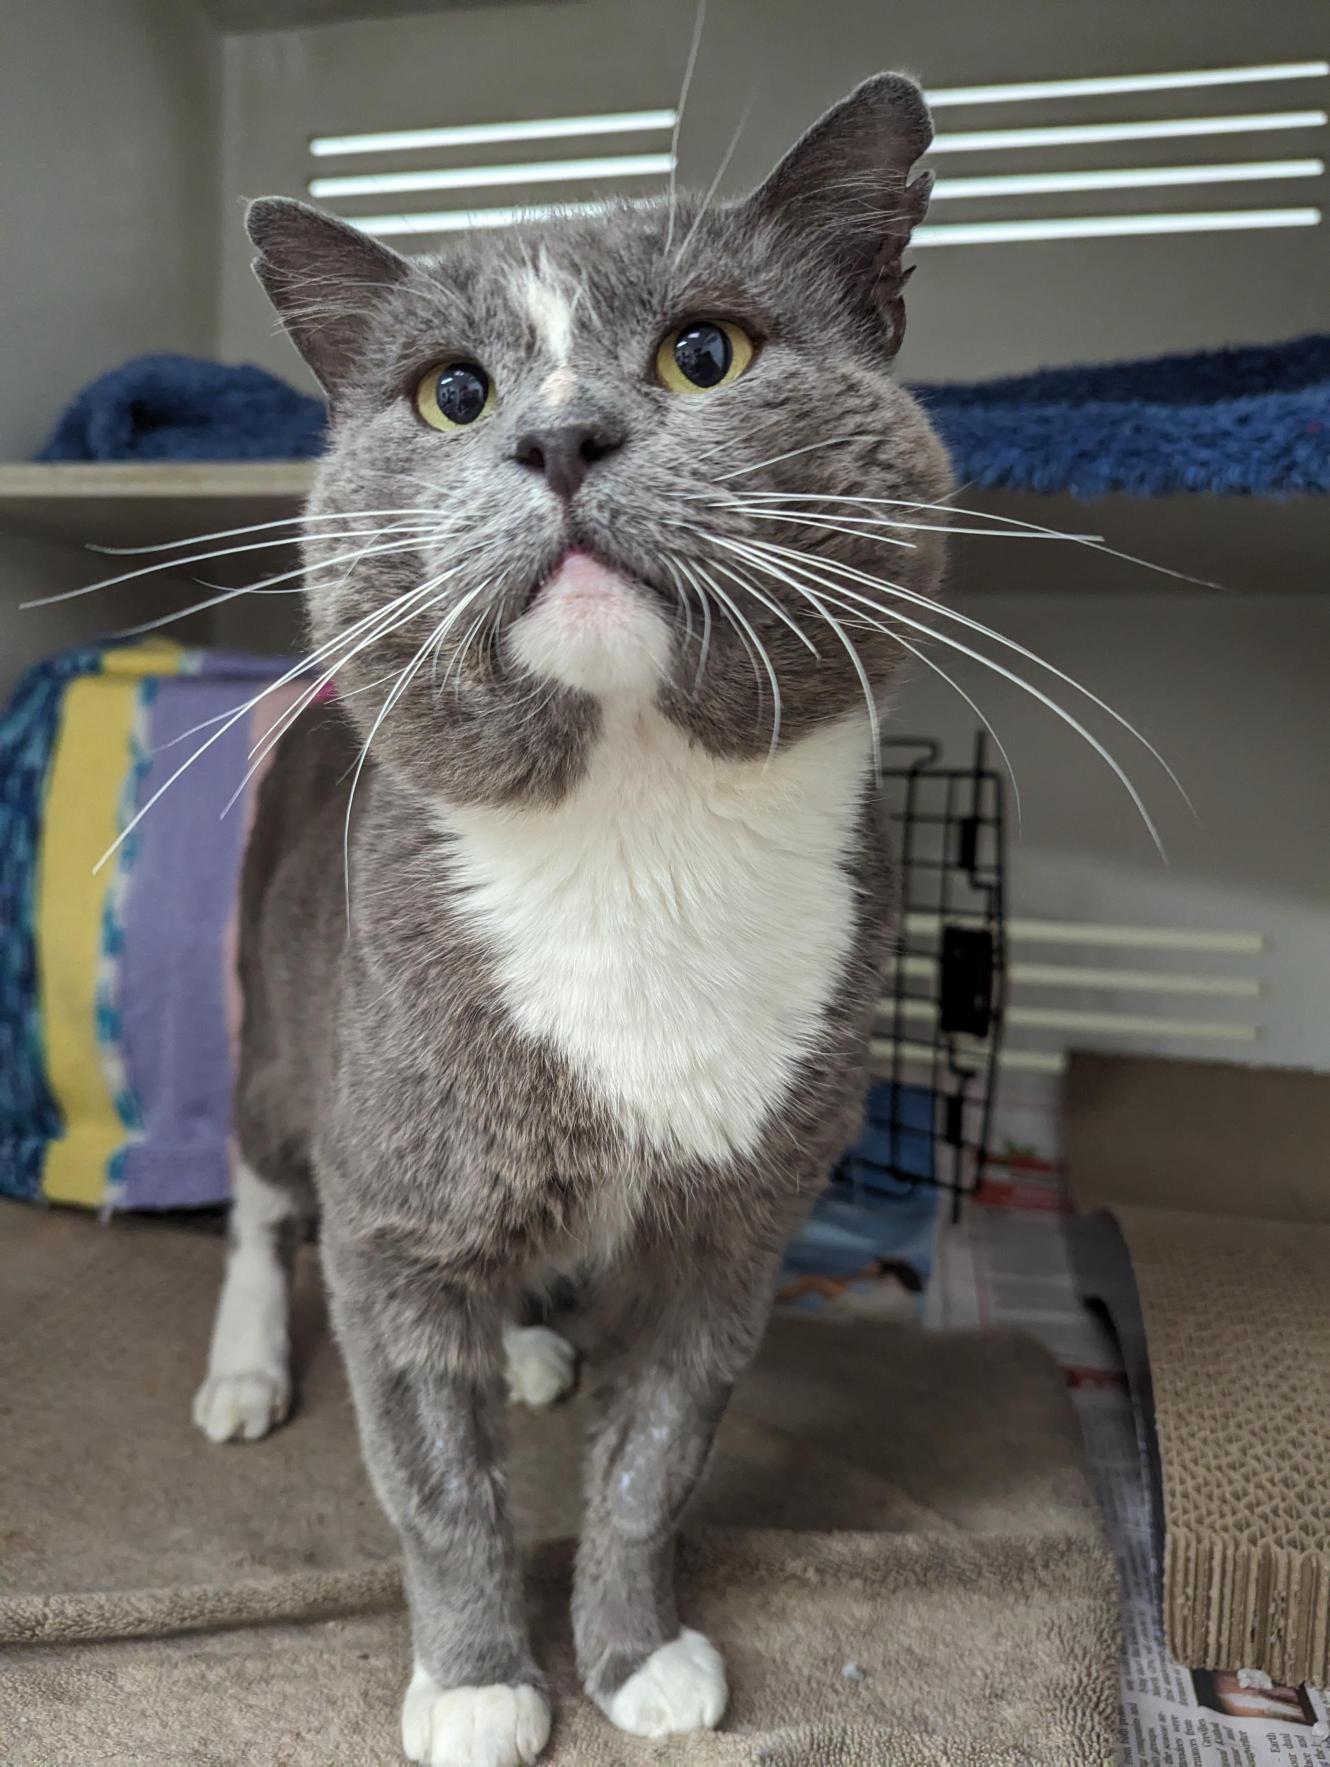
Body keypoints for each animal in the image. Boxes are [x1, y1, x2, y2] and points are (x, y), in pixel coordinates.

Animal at [192, 71, 949, 1767]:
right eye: (453, 394)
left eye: (704, 352)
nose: (556, 434)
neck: (633, 825)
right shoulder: (393, 1205)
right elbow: (432, 1480)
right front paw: (479, 1680)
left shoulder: (733, 1232)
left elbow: (654, 1457)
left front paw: (634, 1654)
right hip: (282, 1027)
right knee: (260, 1196)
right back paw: (246, 1369)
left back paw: (532, 1338)